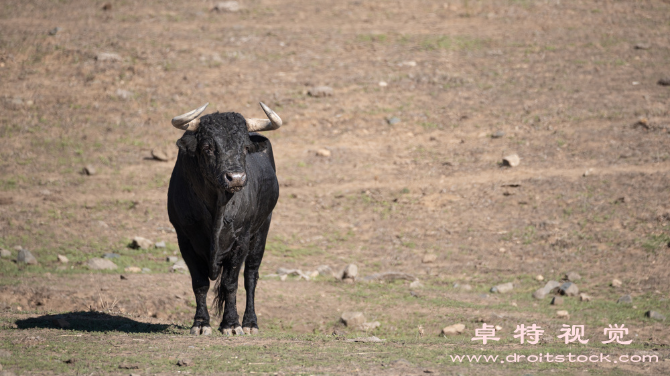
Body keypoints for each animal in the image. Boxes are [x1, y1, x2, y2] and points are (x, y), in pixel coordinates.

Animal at [171, 111, 284, 334]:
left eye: (245, 147)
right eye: (207, 147)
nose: (236, 178)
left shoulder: (241, 240)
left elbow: (230, 283)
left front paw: (231, 324)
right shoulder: (184, 239)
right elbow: (199, 283)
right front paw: (200, 324)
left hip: (262, 229)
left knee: (250, 277)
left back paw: (250, 323)